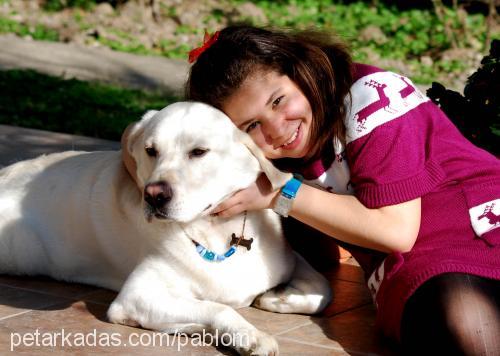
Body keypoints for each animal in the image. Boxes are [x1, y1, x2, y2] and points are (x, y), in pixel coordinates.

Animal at [0, 101, 330, 354]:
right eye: (151, 150)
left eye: (198, 152)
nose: (154, 195)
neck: (216, 230)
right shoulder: (136, 296)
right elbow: (217, 307)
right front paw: (251, 335)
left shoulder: (290, 259)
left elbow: (324, 290)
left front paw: (278, 297)